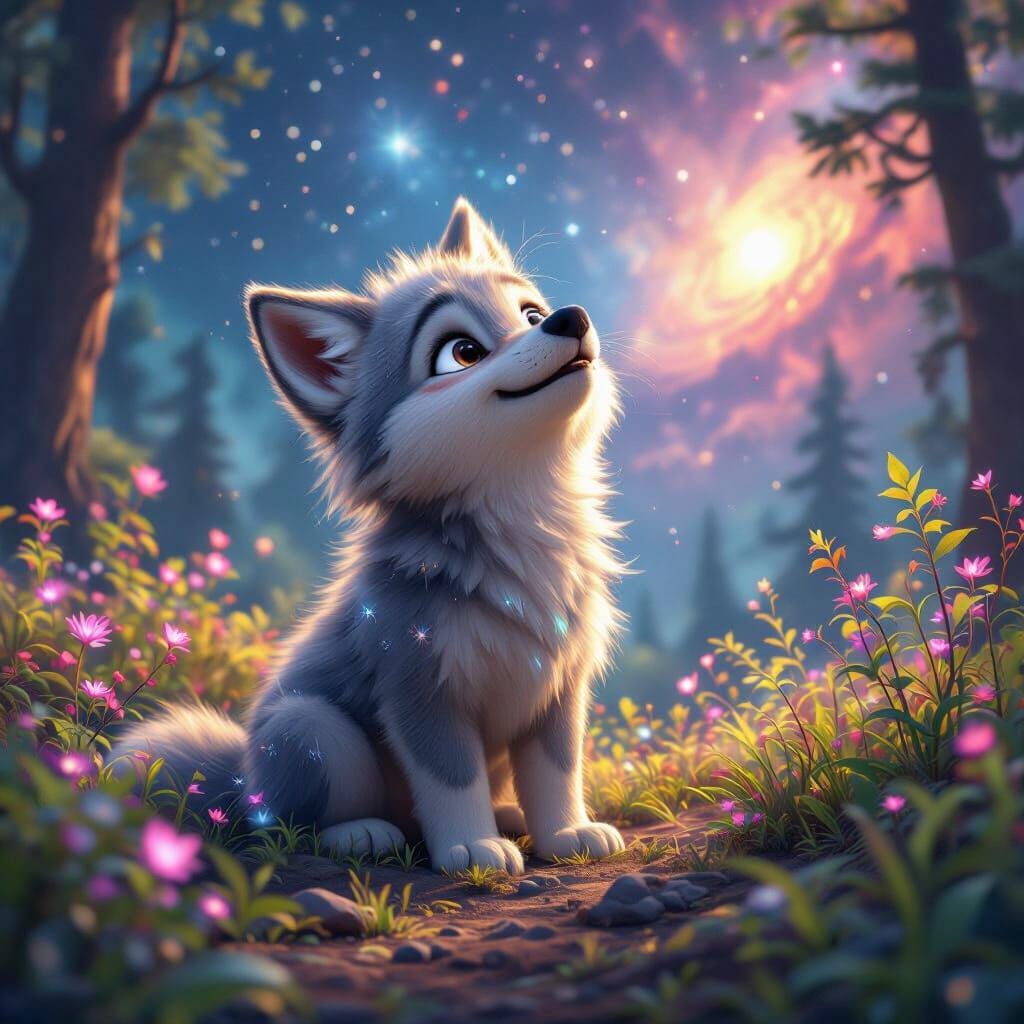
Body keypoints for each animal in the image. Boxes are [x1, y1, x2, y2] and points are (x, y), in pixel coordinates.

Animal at [114, 198, 627, 874]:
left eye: (531, 315)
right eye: (461, 352)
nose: (571, 317)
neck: (526, 523)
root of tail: (240, 780)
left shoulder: (559, 689)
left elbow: (557, 774)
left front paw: (568, 833)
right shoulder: (417, 684)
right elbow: (451, 778)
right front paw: (470, 847)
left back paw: (508, 818)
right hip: (309, 727)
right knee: (292, 825)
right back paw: (363, 834)